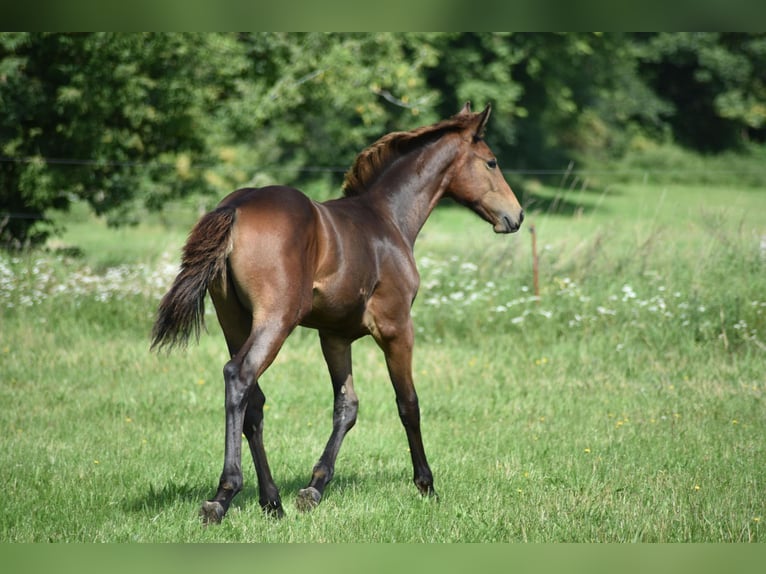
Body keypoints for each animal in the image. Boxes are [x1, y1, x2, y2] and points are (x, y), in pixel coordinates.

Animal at [151, 102, 524, 524]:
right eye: (492, 162)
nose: (516, 216)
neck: (387, 219)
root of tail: (236, 206)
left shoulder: (335, 336)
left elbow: (346, 407)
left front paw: (314, 488)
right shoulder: (396, 327)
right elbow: (408, 403)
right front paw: (426, 485)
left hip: (234, 320)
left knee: (254, 403)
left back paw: (272, 502)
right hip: (276, 319)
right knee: (239, 376)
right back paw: (223, 495)